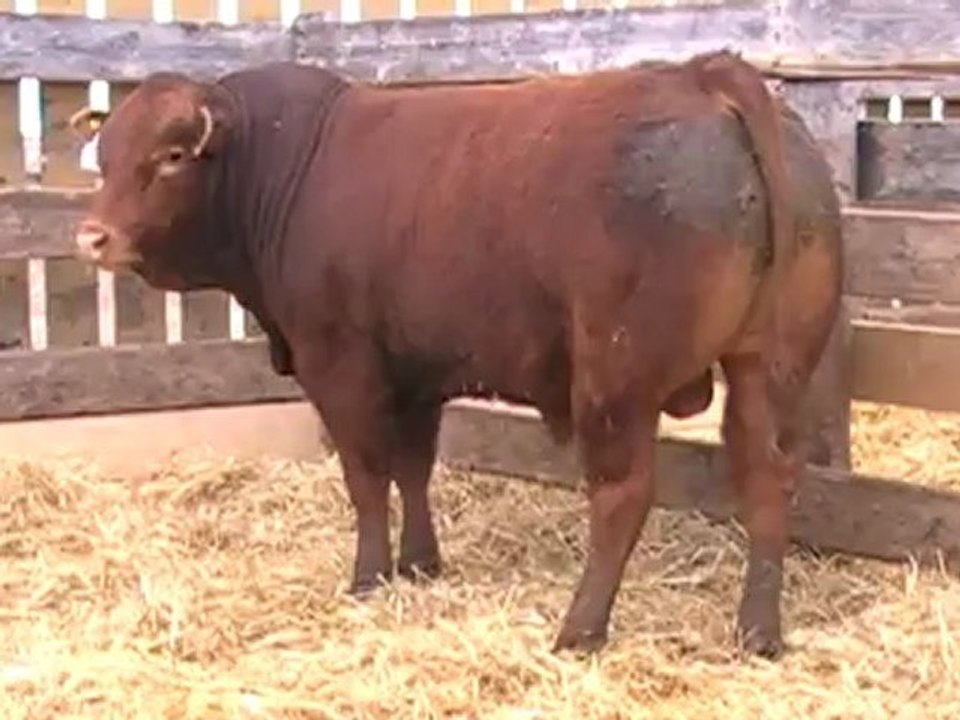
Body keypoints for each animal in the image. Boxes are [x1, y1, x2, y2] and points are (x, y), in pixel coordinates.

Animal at [69, 52, 843, 658]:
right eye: (104, 158)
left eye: (171, 156)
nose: (92, 236)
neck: (289, 162)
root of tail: (703, 75)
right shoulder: (418, 371)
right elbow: (414, 469)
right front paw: (421, 563)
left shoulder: (341, 364)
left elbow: (367, 476)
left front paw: (370, 574)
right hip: (770, 365)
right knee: (768, 478)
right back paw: (758, 632)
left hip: (613, 381)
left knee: (623, 494)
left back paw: (580, 630)